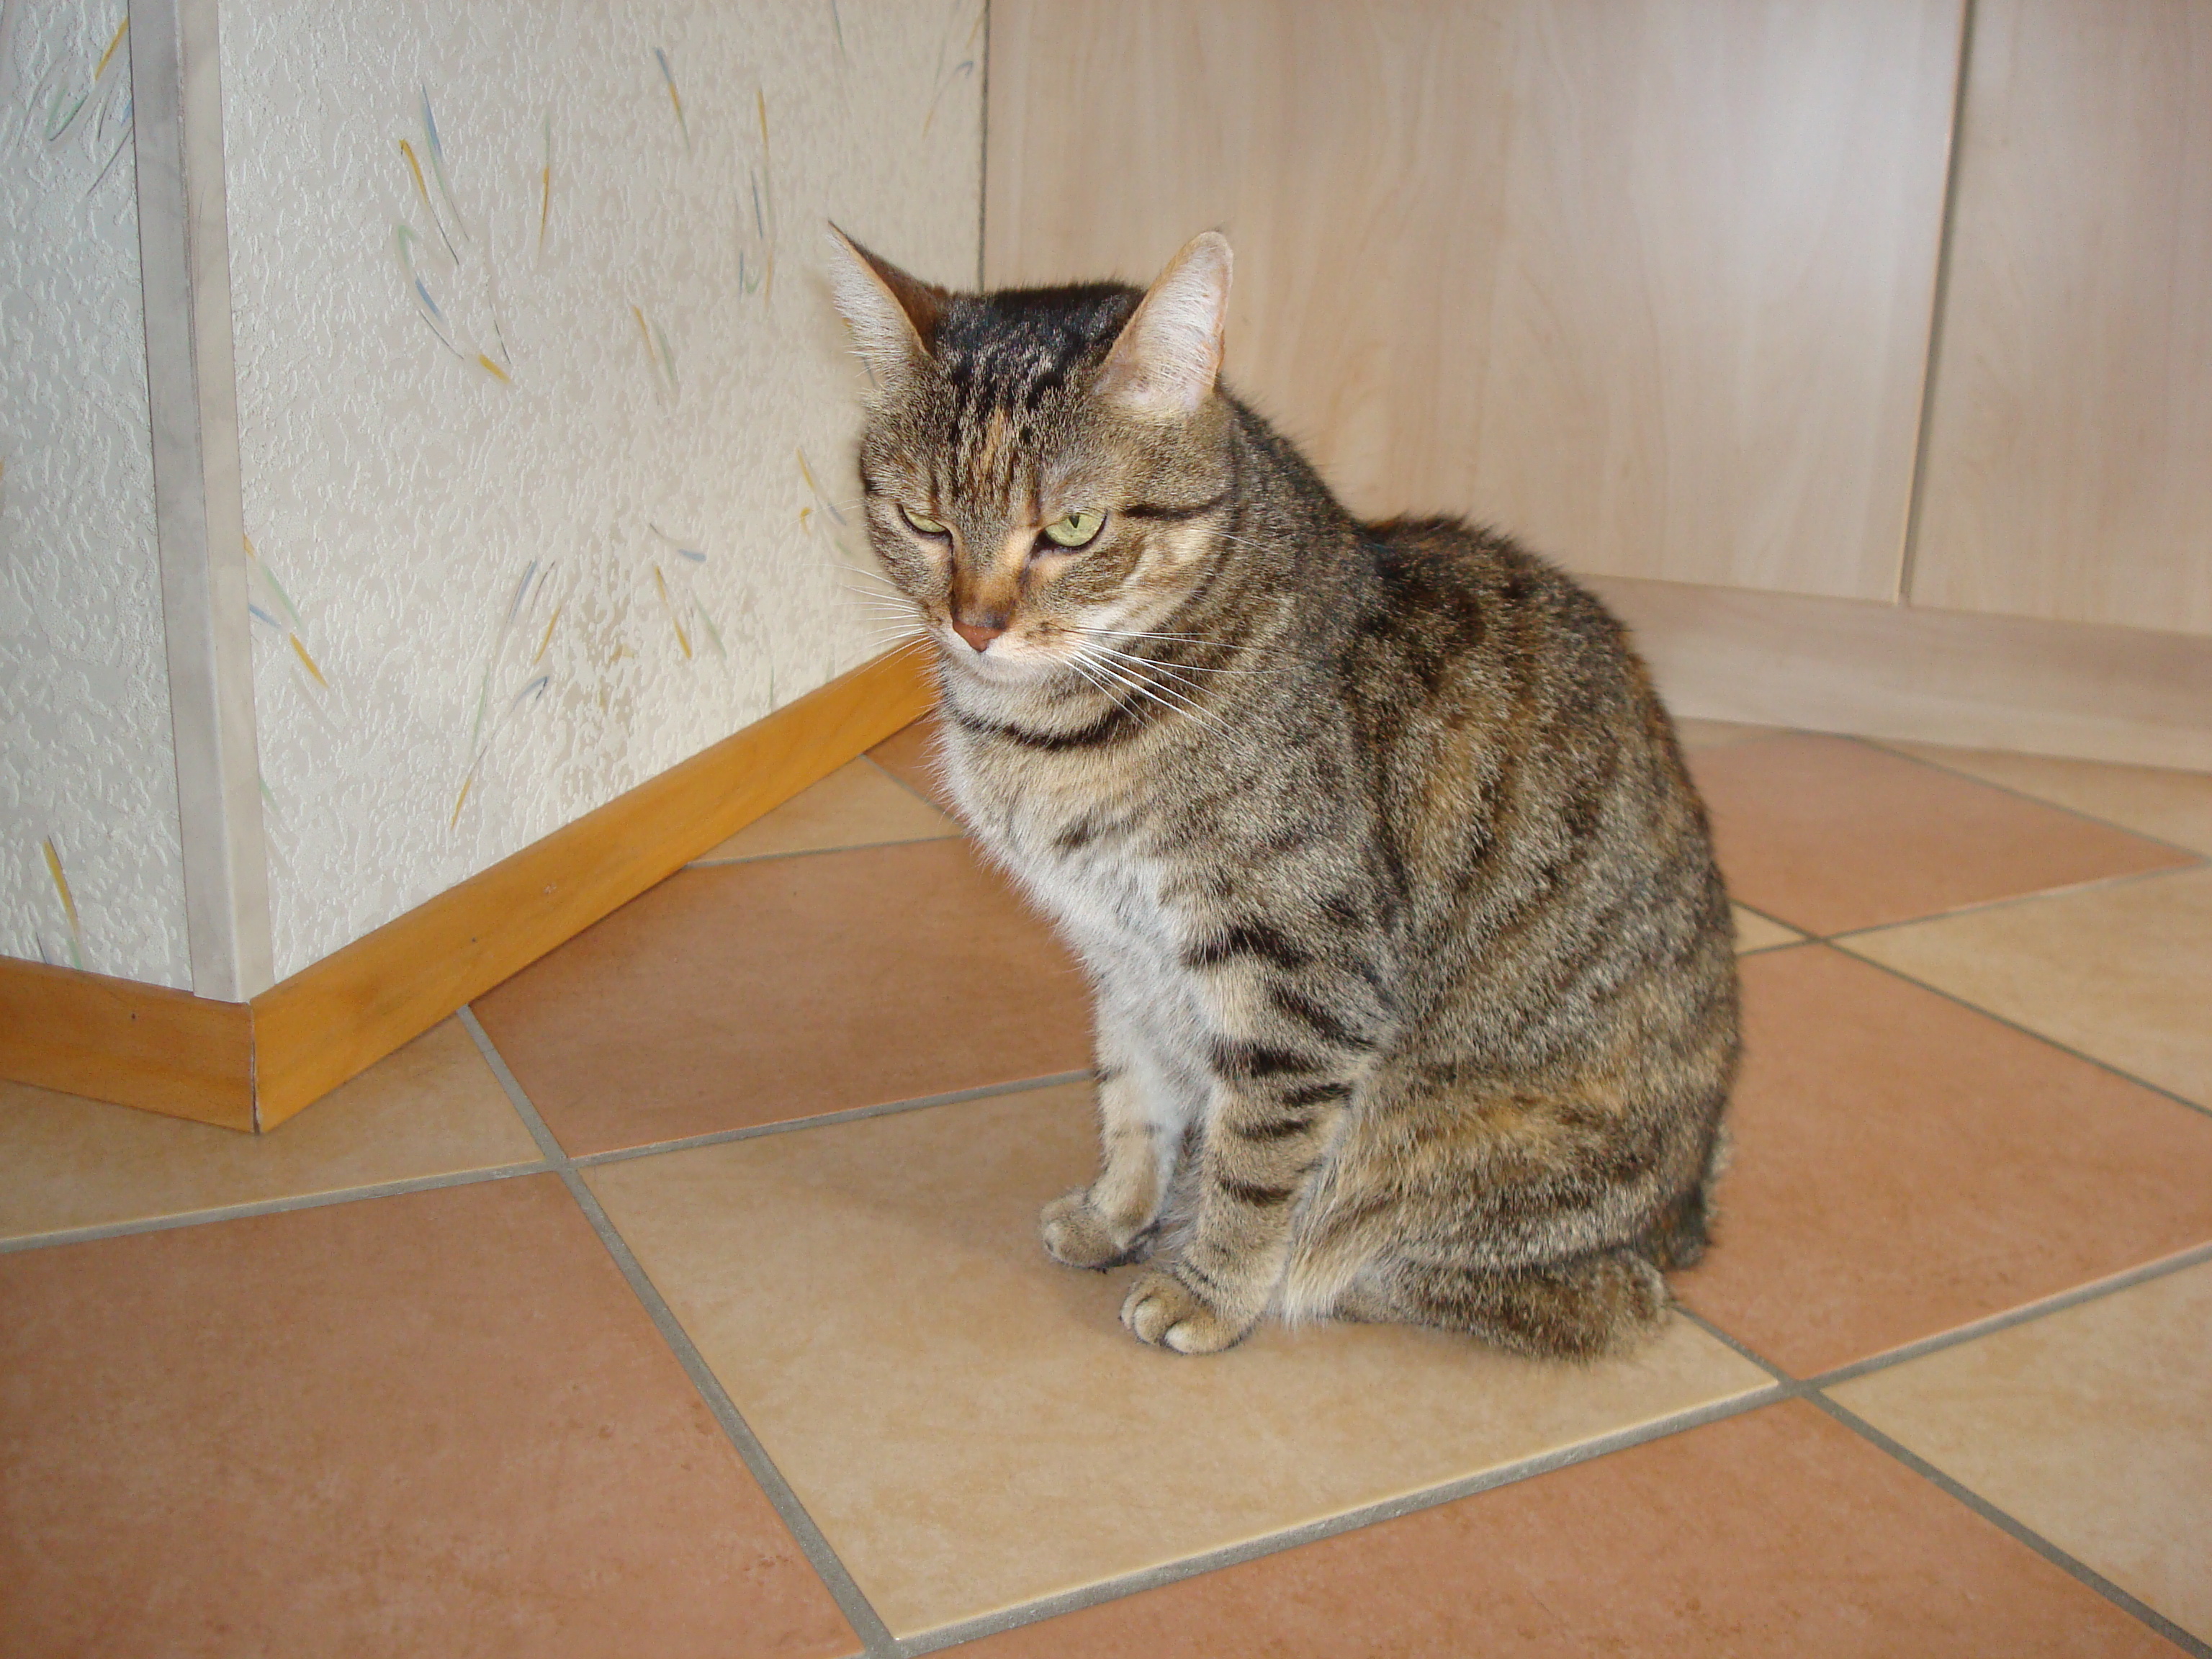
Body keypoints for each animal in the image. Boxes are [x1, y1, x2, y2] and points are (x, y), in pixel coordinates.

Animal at [828, 226, 1739, 1360]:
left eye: (1073, 528)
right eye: (924, 520)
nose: (976, 625)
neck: (1052, 735)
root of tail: (1685, 1214)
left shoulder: (1296, 970)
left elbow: (1253, 1160)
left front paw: (1210, 1287)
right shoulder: (1120, 954)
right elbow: (1133, 1100)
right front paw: (1117, 1212)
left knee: (1584, 1294)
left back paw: (1306, 1272)